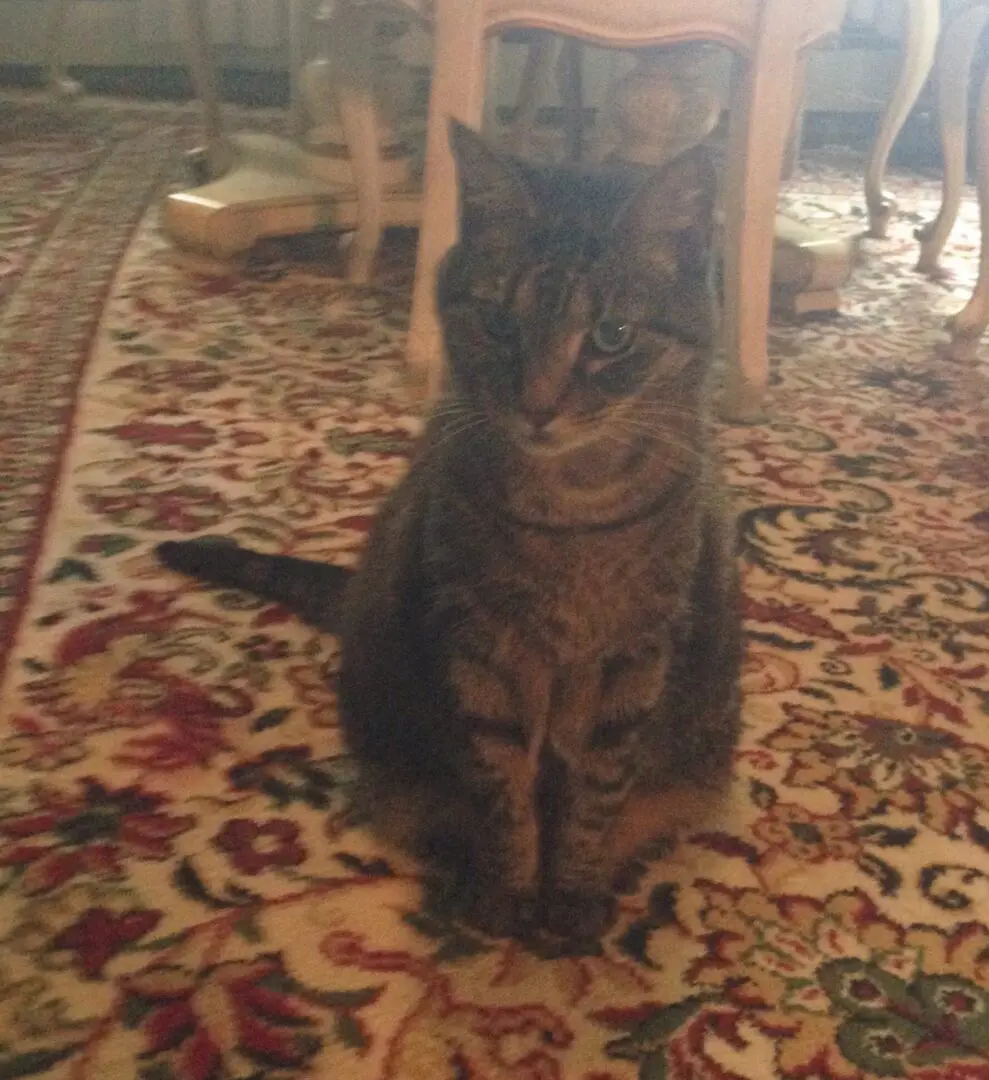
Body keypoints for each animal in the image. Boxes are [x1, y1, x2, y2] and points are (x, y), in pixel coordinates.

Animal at [156, 122, 742, 950]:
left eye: (611, 336)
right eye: (498, 323)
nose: (538, 407)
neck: (567, 513)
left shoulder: (636, 658)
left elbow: (594, 799)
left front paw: (572, 894)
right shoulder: (478, 651)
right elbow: (503, 792)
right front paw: (506, 891)